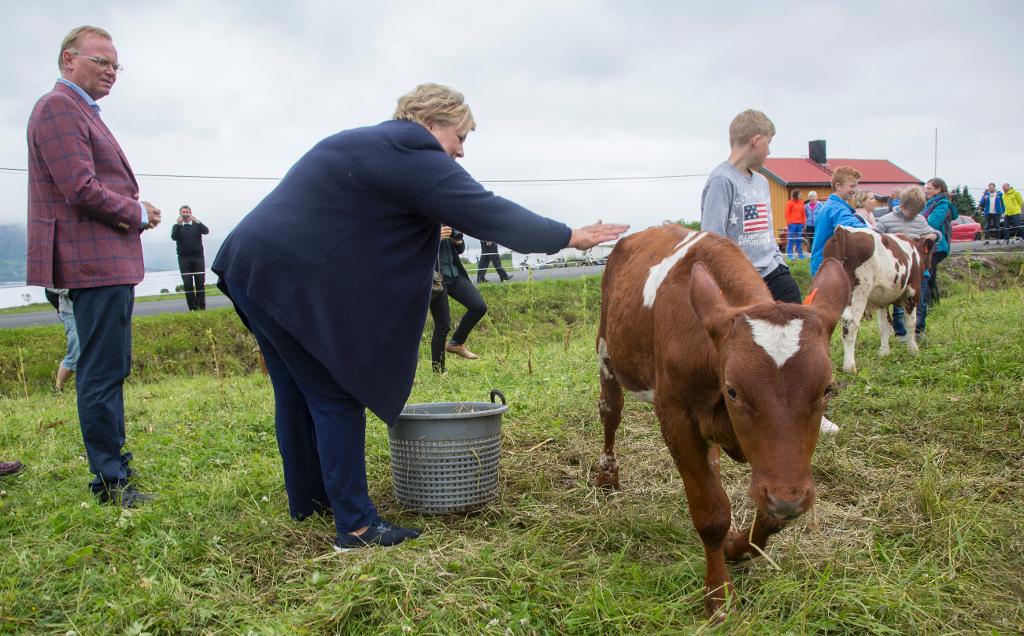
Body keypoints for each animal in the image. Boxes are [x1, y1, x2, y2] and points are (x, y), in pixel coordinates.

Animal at [593, 225, 847, 618]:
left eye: (828, 389)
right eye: (733, 391)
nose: (790, 499)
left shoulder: (781, 470)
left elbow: (769, 516)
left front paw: (735, 547)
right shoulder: (676, 418)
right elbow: (710, 513)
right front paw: (718, 596)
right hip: (607, 349)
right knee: (611, 412)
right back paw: (607, 476)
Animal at [823, 224, 937, 372]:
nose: (929, 267)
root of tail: (843, 230)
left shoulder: (881, 301)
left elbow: (884, 325)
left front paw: (884, 352)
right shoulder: (912, 291)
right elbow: (910, 322)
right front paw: (913, 350)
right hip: (859, 292)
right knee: (850, 325)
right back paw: (849, 366)